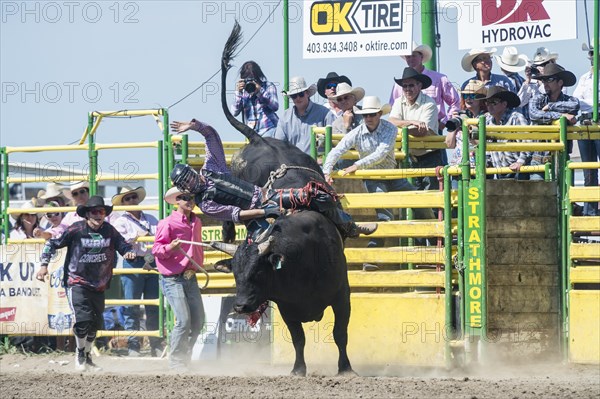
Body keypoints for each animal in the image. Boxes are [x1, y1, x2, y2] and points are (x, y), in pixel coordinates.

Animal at [214, 22, 354, 378]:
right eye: (234, 272)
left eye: (258, 272)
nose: (241, 305)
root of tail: (259, 137)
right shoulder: (287, 305)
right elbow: (298, 338)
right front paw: (298, 369)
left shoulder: (342, 294)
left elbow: (340, 333)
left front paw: (345, 368)